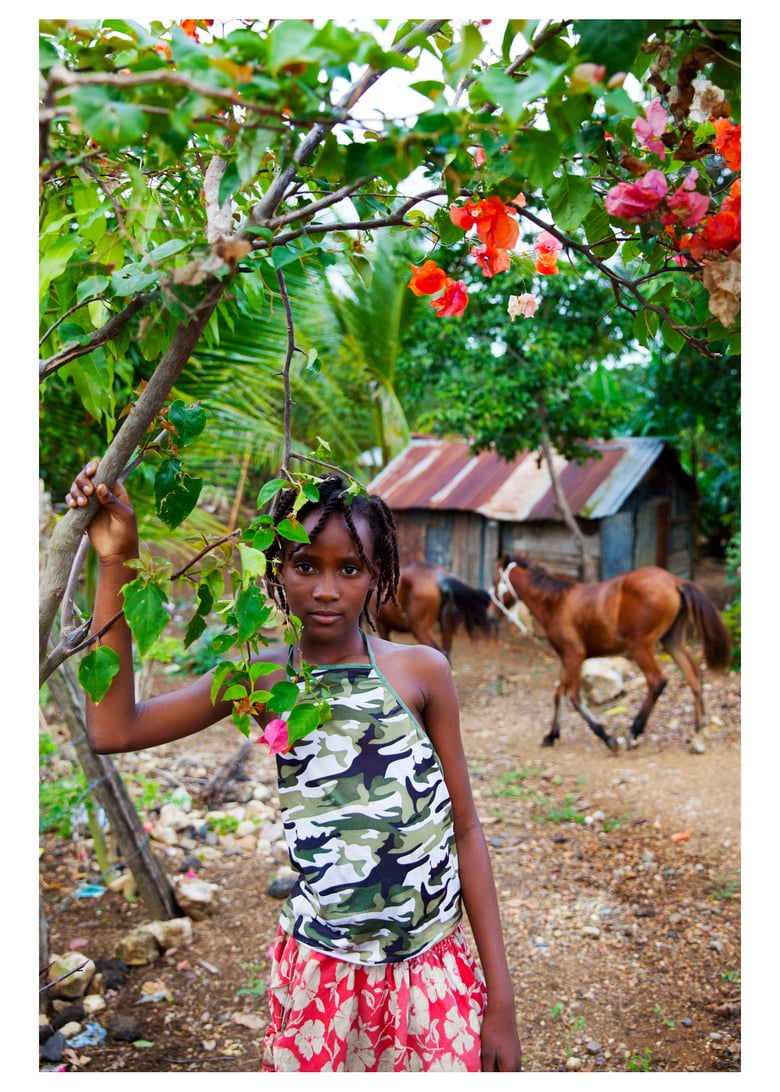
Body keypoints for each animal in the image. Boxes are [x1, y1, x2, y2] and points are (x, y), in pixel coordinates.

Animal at [491, 554, 729, 751]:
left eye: (495, 582)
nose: (491, 613)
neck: (556, 603)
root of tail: (676, 582)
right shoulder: (566, 658)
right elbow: (558, 694)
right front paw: (551, 735)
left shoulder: (574, 655)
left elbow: (574, 697)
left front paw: (607, 738)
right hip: (672, 641)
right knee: (694, 675)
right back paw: (698, 736)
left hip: (640, 647)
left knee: (657, 681)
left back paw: (635, 733)